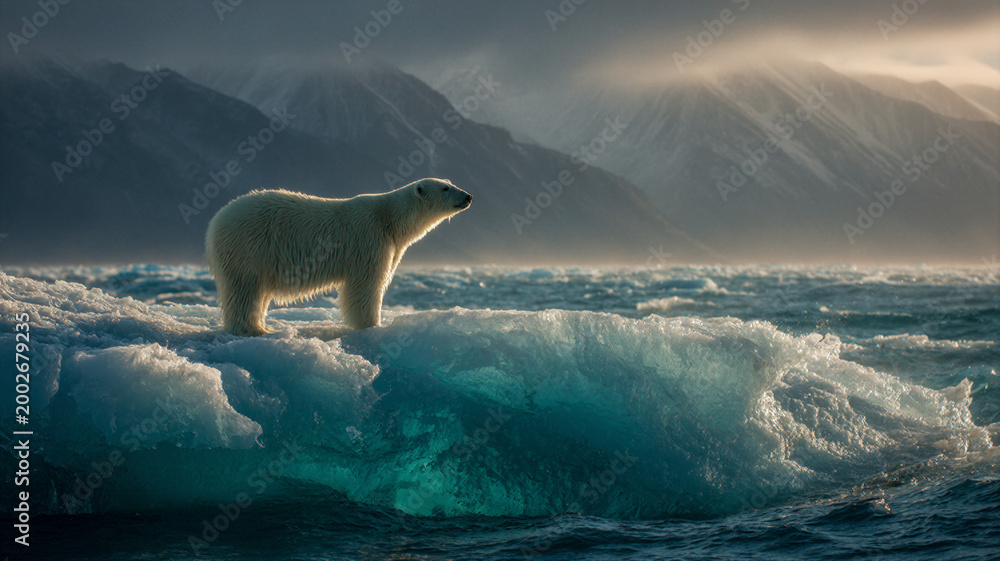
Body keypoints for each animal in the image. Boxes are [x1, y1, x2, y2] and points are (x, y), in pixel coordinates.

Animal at [205, 178, 472, 336]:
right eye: (446, 188)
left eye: (450, 182)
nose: (468, 196)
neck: (390, 219)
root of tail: (215, 222)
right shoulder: (369, 239)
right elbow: (366, 284)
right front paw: (372, 326)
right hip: (249, 246)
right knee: (244, 289)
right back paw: (252, 329)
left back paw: (261, 325)